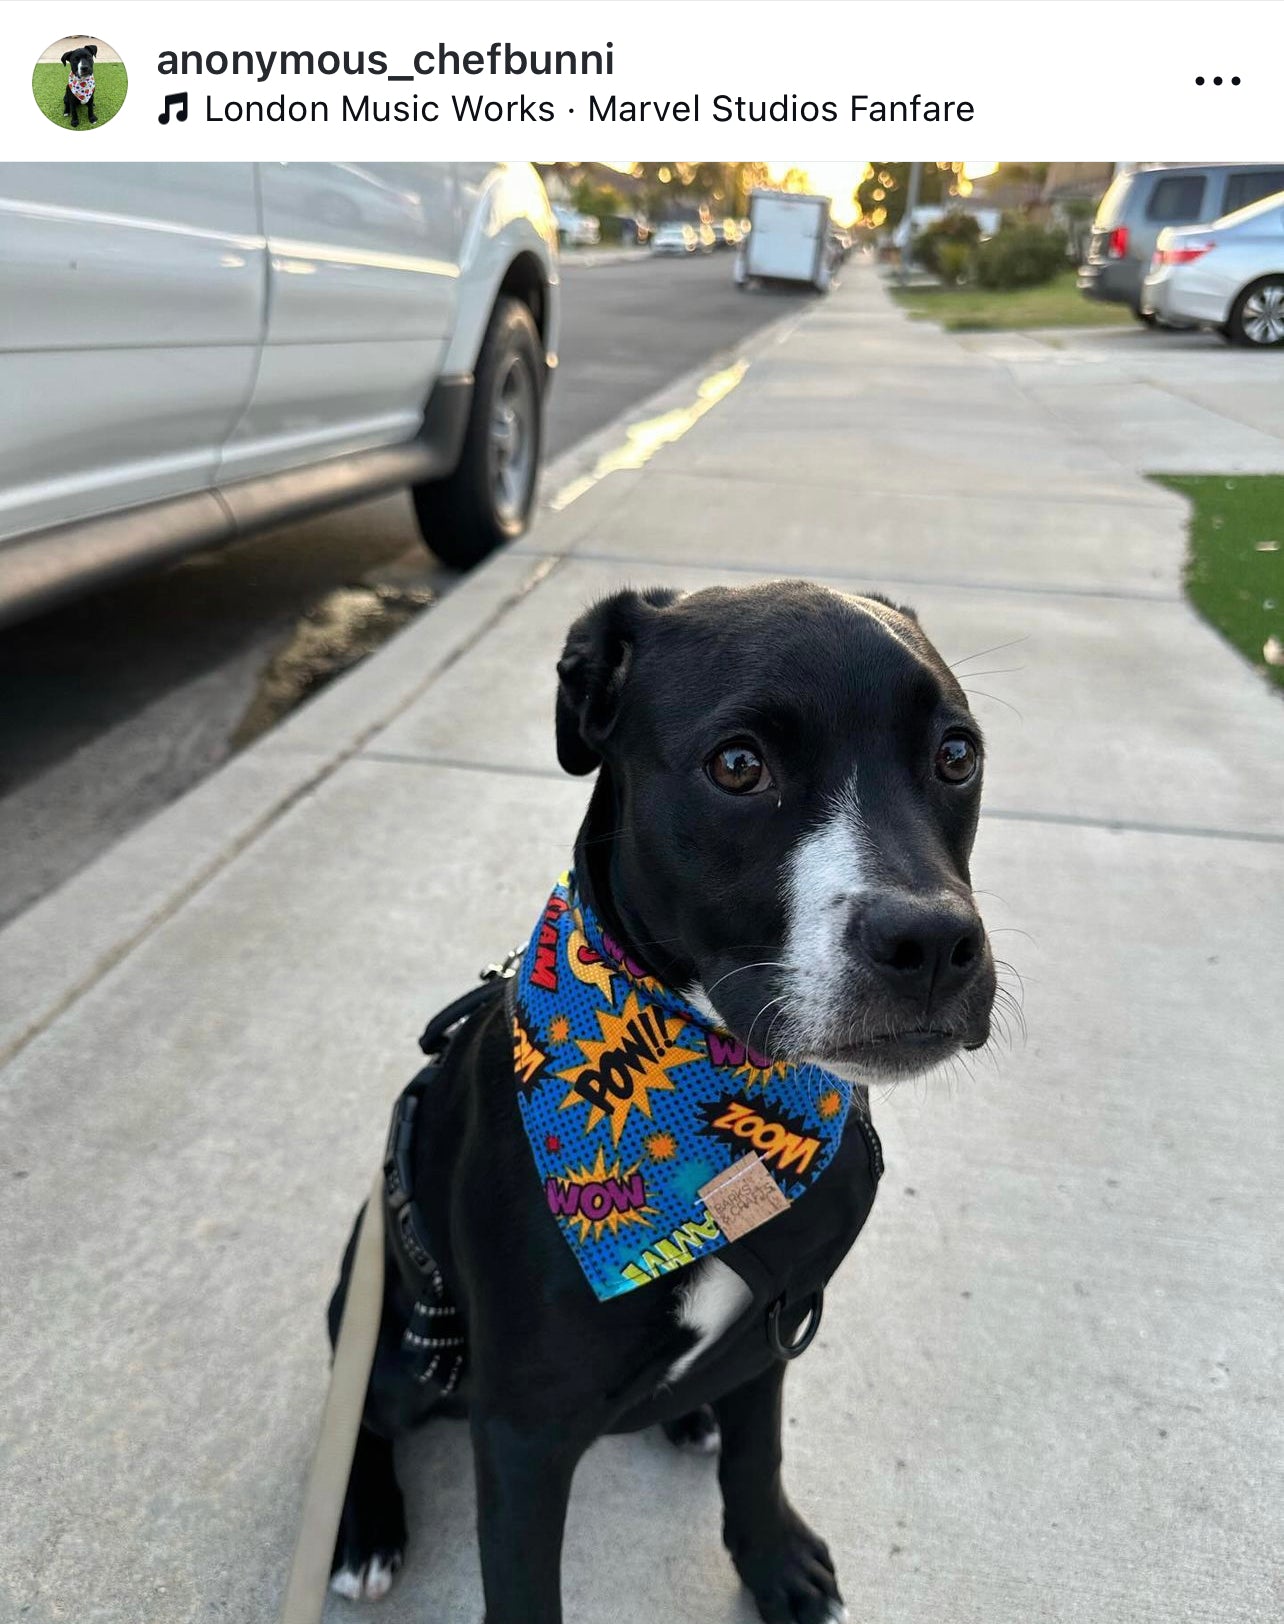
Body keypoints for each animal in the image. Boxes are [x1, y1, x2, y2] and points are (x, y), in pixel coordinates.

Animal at [326, 584, 999, 1624]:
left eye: (957, 754)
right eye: (738, 766)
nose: (930, 941)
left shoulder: (775, 1327)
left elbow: (759, 1458)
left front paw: (774, 1566)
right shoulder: (522, 1431)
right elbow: (522, 1588)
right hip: (392, 1341)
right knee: (357, 1411)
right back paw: (362, 1529)